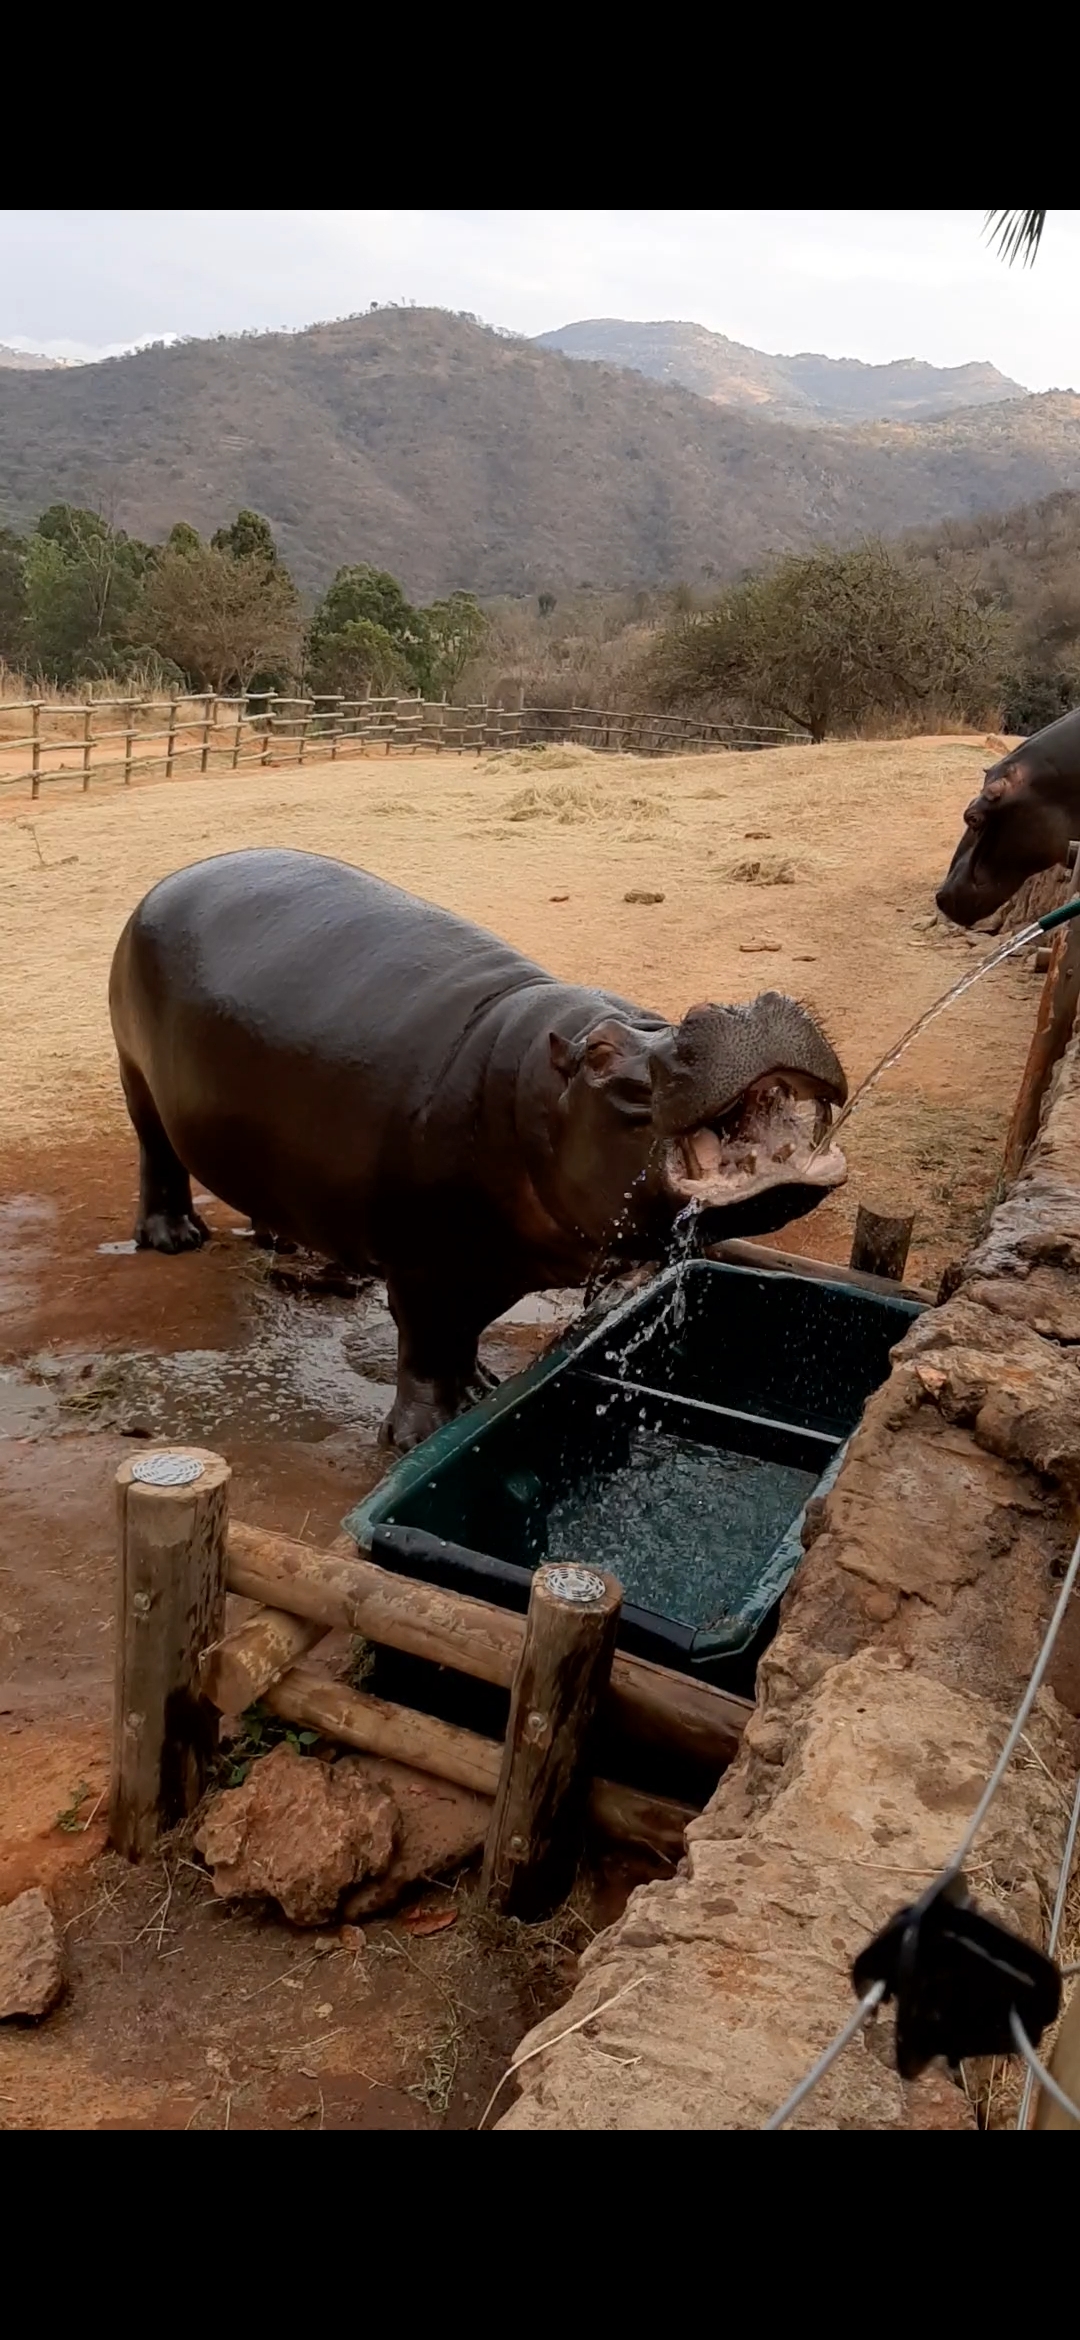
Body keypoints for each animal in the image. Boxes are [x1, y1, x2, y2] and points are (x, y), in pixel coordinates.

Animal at [109, 849, 848, 1450]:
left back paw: (285, 1244)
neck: (532, 1096)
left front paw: (481, 1390)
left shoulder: (490, 1262)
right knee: (157, 1157)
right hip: (136, 1076)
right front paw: (421, 1436)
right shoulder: (423, 1262)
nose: (737, 1006)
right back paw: (174, 1239)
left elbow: (463, 1338)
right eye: (600, 1053)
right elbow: (427, 1345)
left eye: (658, 1016)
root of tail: (169, 879)